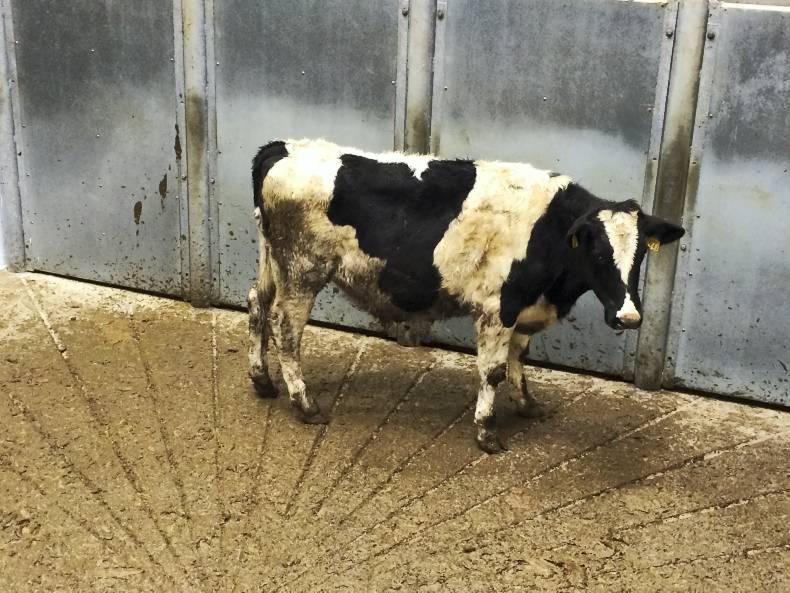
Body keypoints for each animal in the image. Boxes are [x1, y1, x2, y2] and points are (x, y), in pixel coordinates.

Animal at [247, 138, 684, 453]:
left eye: (641, 254)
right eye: (597, 253)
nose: (628, 316)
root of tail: (283, 147)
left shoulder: (523, 305)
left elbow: (519, 357)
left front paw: (527, 405)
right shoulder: (498, 307)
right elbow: (493, 371)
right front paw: (487, 434)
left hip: (272, 261)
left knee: (256, 304)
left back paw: (262, 381)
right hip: (302, 269)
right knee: (286, 328)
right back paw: (305, 404)